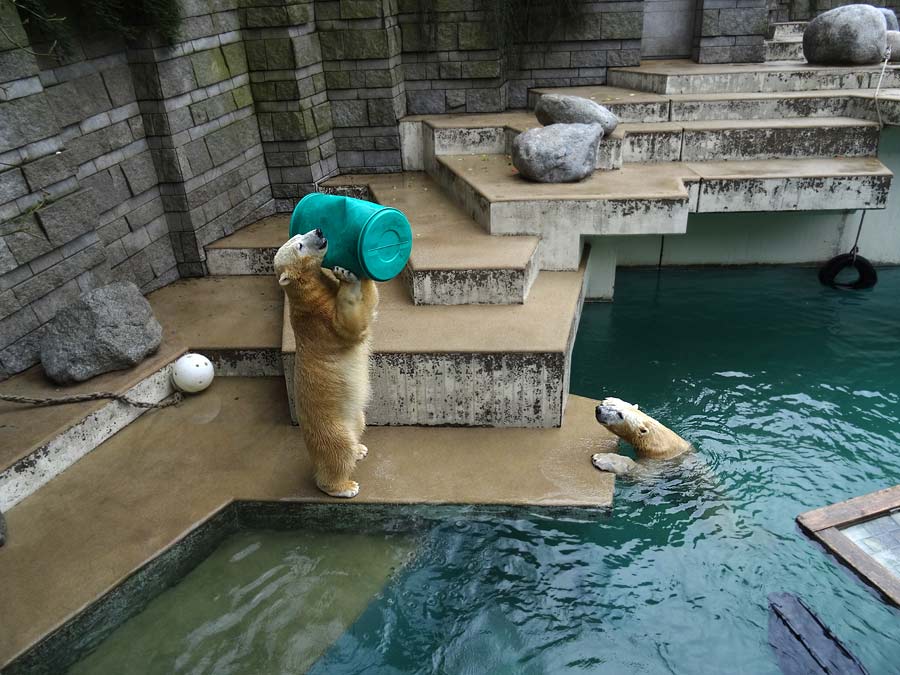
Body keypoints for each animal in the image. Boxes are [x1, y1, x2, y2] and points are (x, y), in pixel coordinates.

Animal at [270, 230, 376, 500]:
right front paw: (346, 276)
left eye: (300, 233)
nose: (318, 231)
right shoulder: (320, 322)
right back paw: (344, 486)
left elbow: (369, 308)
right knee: (338, 454)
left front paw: (355, 271)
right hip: (330, 428)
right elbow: (351, 325)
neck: (307, 294)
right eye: (299, 245)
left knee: (359, 424)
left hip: (354, 417)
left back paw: (360, 449)